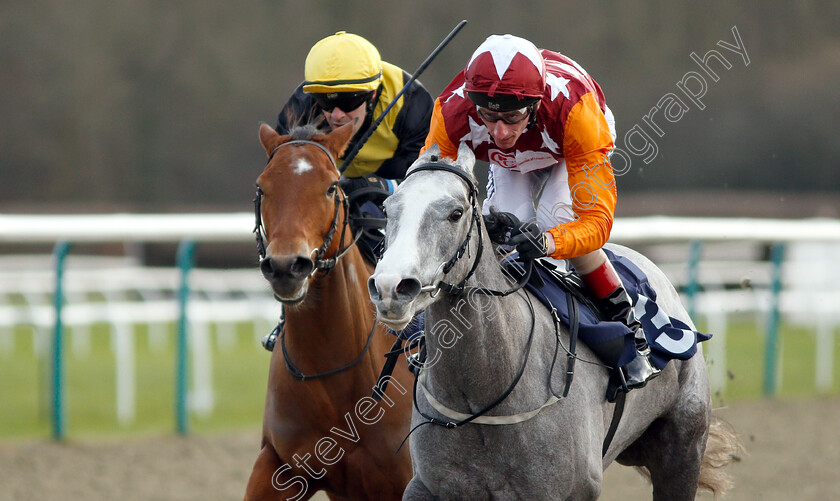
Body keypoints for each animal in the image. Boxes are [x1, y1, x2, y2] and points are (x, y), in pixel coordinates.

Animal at [370, 143, 740, 498]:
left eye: (455, 213)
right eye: (387, 209)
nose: (391, 287)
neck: (482, 398)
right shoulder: (427, 486)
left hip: (681, 450)